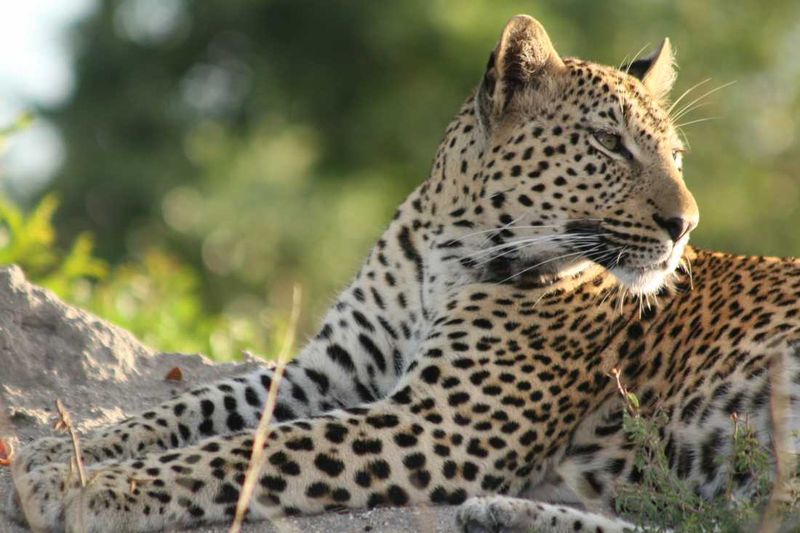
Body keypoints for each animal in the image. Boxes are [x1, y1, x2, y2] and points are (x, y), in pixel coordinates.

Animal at [6, 14, 800, 533]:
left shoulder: (445, 425)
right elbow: (193, 408)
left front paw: (91, 488)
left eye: (676, 156)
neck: (447, 248)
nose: (685, 225)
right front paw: (52, 452)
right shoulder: (329, 369)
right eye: (608, 144)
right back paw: (504, 512)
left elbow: (249, 451)